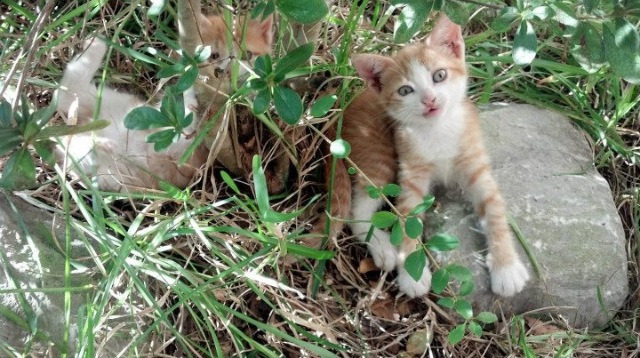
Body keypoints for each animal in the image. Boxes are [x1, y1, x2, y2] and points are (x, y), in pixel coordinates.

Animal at [324, 14, 528, 296]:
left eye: (439, 75)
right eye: (405, 91)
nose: (430, 99)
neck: (437, 129)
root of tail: (342, 111)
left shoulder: (475, 163)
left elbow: (495, 209)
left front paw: (506, 267)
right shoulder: (411, 173)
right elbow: (407, 218)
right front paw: (413, 274)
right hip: (377, 155)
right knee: (357, 211)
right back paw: (384, 247)